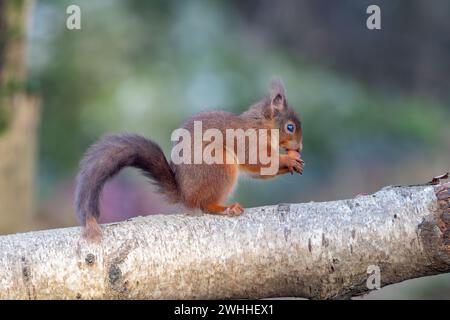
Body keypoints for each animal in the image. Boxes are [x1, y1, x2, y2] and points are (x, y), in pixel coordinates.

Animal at [75, 79, 304, 240]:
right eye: (290, 127)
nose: (299, 148)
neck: (261, 126)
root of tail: (185, 194)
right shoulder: (249, 143)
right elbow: (260, 163)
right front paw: (288, 160)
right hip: (221, 166)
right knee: (205, 205)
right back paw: (225, 208)